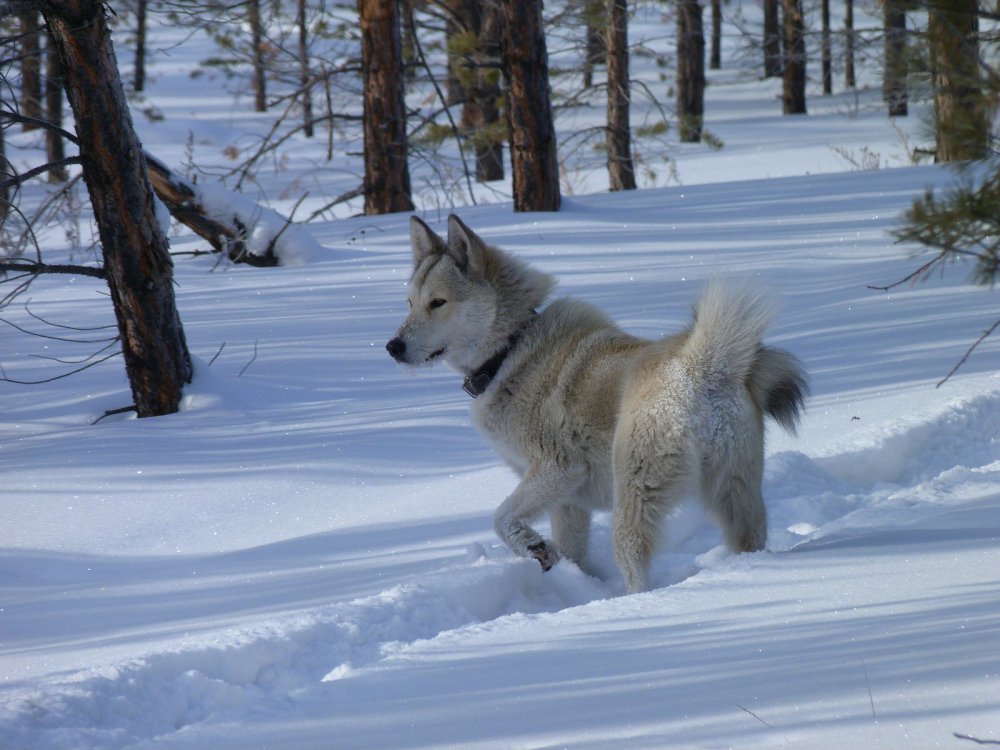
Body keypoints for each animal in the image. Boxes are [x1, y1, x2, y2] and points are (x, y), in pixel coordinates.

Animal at [386, 214, 808, 596]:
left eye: (437, 302)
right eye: (409, 303)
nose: (393, 347)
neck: (509, 350)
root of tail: (700, 364)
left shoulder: (557, 470)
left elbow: (501, 518)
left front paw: (534, 547)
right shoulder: (569, 502)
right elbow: (572, 553)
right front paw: (574, 581)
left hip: (634, 497)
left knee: (635, 563)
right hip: (735, 492)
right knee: (749, 536)